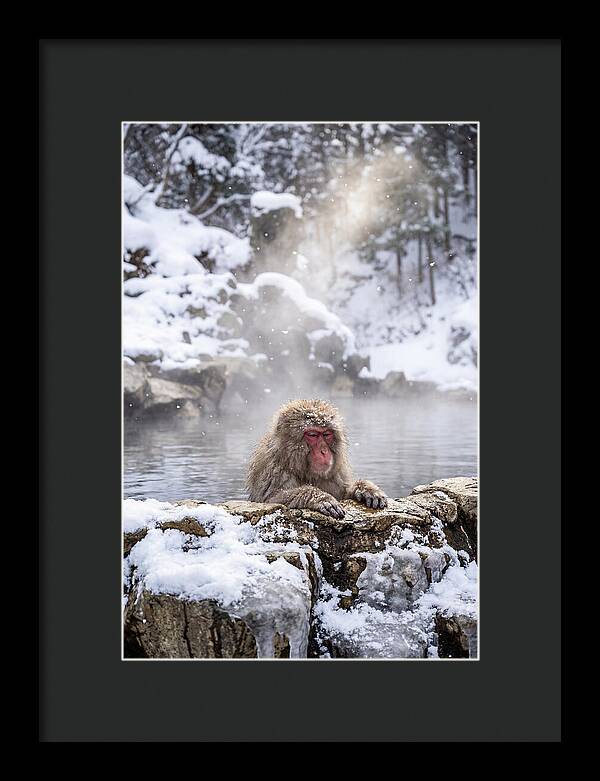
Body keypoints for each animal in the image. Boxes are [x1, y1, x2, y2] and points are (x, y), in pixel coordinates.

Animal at [246, 399, 388, 519]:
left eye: (327, 434)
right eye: (312, 435)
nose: (324, 451)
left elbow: (344, 493)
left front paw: (365, 489)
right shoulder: (273, 469)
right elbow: (271, 500)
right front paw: (320, 498)